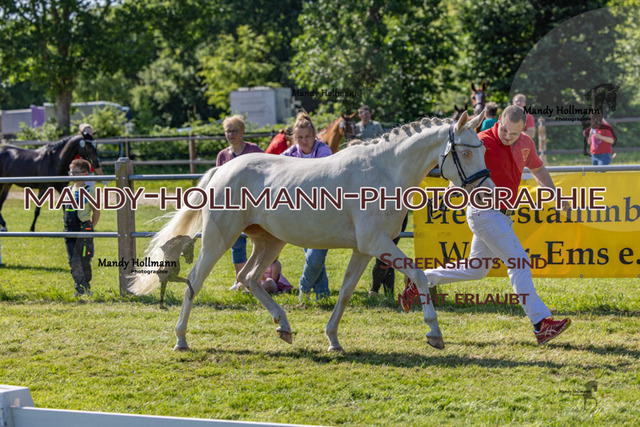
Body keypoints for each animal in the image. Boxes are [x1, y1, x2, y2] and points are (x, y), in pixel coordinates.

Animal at [129, 111, 492, 352]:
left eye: (483, 148)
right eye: (466, 151)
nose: (487, 190)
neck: (385, 171)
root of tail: (222, 169)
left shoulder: (365, 249)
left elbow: (345, 292)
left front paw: (333, 340)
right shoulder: (377, 243)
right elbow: (418, 275)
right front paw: (434, 334)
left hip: (269, 241)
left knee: (249, 278)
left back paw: (284, 327)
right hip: (221, 239)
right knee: (196, 280)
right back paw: (181, 339)